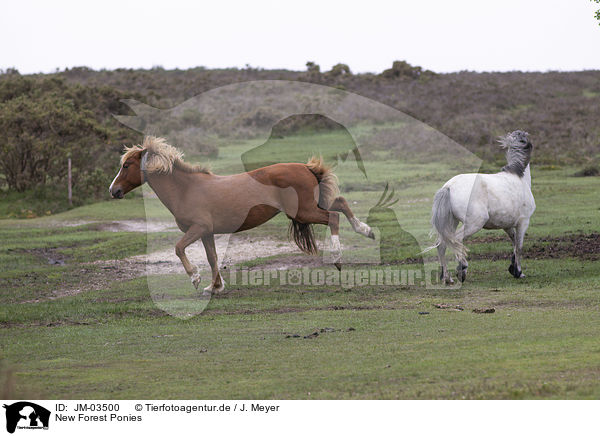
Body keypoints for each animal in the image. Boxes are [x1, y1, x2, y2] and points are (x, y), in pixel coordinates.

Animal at [107, 137, 370, 292]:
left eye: (126, 165)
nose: (113, 190)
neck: (186, 189)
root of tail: (305, 167)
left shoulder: (198, 229)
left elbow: (178, 248)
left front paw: (195, 278)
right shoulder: (207, 233)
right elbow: (212, 257)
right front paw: (214, 287)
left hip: (304, 211)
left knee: (333, 217)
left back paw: (338, 257)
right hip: (309, 207)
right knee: (341, 203)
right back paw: (366, 230)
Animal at [432, 131, 536, 284]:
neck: (518, 178)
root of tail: (448, 187)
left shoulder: (507, 226)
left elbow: (514, 243)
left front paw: (513, 268)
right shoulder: (523, 222)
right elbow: (519, 246)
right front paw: (518, 272)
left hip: (452, 222)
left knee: (442, 244)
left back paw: (447, 278)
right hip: (474, 223)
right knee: (455, 240)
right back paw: (462, 269)